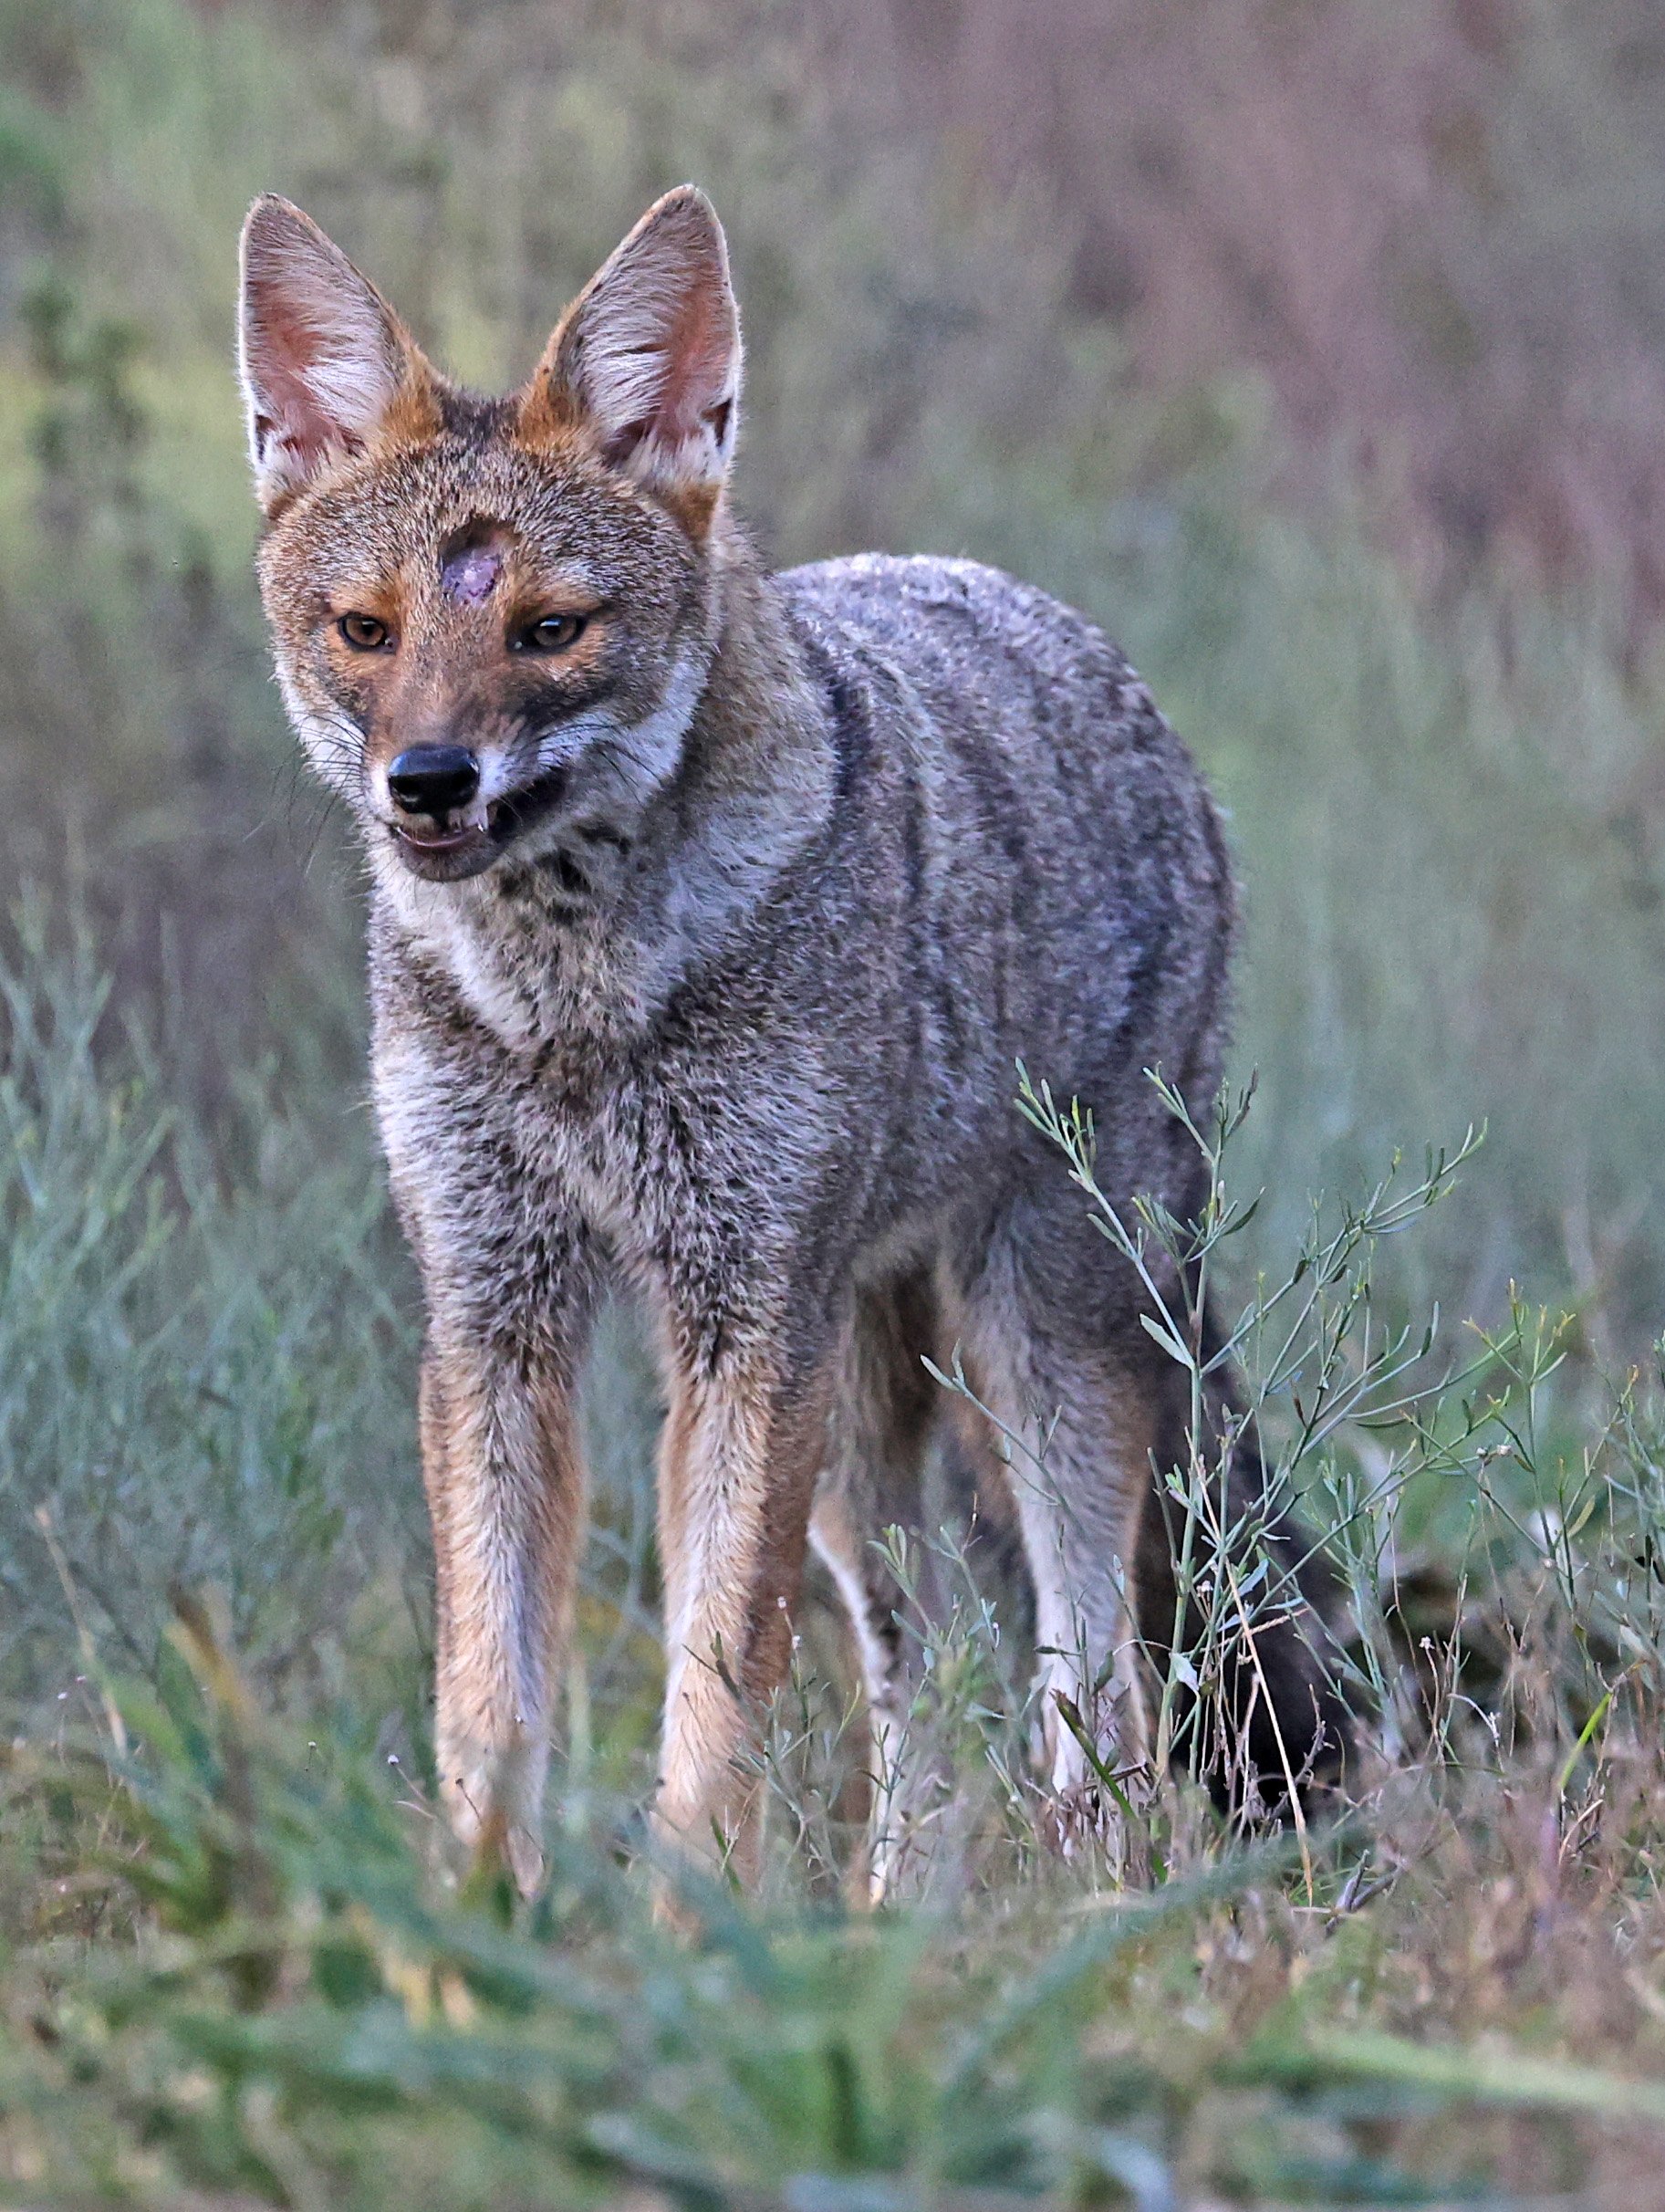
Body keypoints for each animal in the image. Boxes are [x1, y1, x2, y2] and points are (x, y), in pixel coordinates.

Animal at [237, 183, 1347, 1897]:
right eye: (365, 631)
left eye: (550, 630)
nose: (424, 782)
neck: (574, 1004)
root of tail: (1063, 630)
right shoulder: (496, 1316)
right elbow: (487, 1697)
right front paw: (474, 1932)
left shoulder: (746, 1322)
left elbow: (717, 1686)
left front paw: (692, 1926)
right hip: (856, 1433)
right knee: (924, 1668)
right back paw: (902, 1914)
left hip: (1034, 1342)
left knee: (1090, 1671)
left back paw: (1091, 1897)